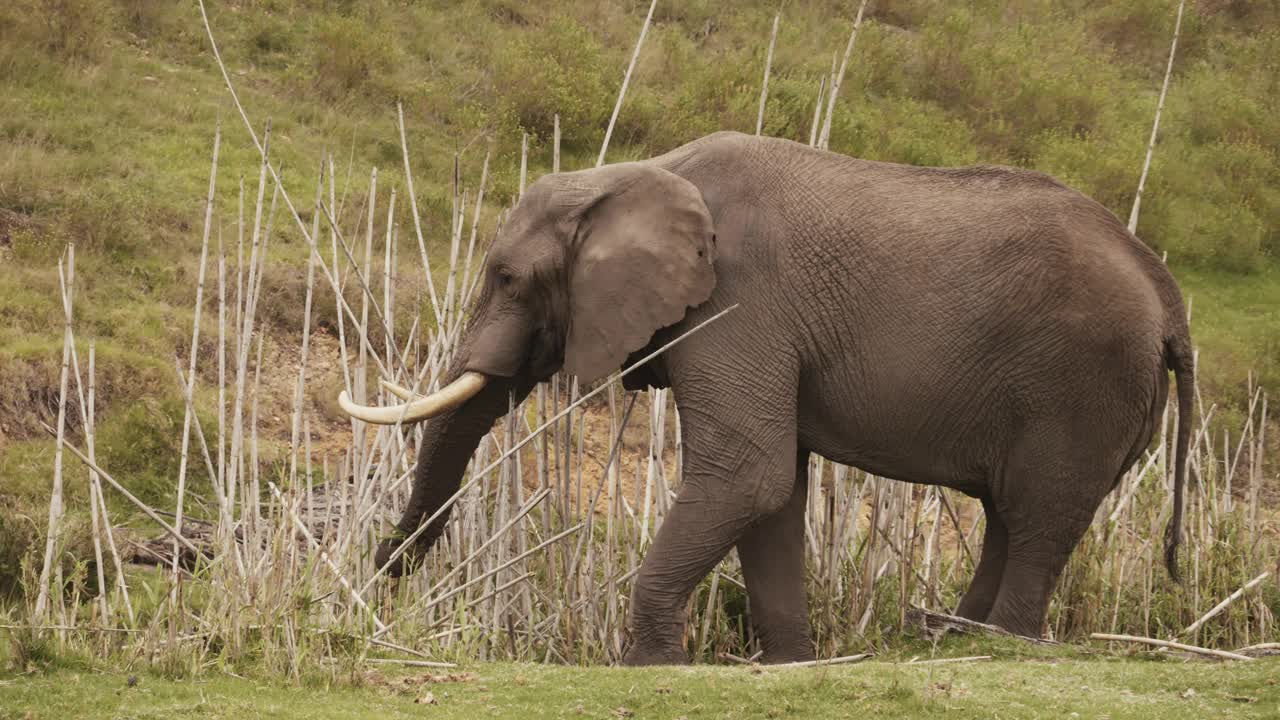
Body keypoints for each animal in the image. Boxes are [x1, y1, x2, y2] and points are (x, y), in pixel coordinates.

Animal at [337, 131, 1187, 666]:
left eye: (507, 277)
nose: (376, 580)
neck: (635, 173)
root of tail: (1167, 293)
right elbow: (774, 496)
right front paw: (788, 665)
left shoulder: (740, 304)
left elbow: (748, 474)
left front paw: (650, 668)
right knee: (1012, 515)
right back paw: (947, 637)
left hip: (1085, 382)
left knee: (1040, 514)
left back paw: (995, 647)